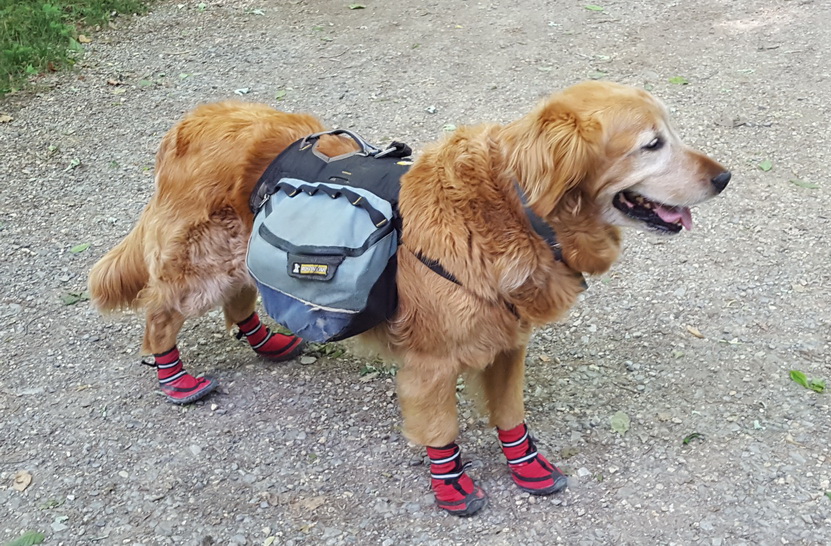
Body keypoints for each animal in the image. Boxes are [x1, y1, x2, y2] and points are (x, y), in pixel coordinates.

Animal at [89, 81, 728, 516]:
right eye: (652, 144)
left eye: (670, 135)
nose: (724, 178)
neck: (516, 211)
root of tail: (192, 120)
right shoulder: (432, 363)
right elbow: (441, 432)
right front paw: (453, 487)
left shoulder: (508, 343)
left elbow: (511, 417)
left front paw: (528, 470)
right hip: (202, 264)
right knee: (160, 314)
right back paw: (177, 380)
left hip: (241, 254)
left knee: (240, 299)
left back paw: (267, 342)